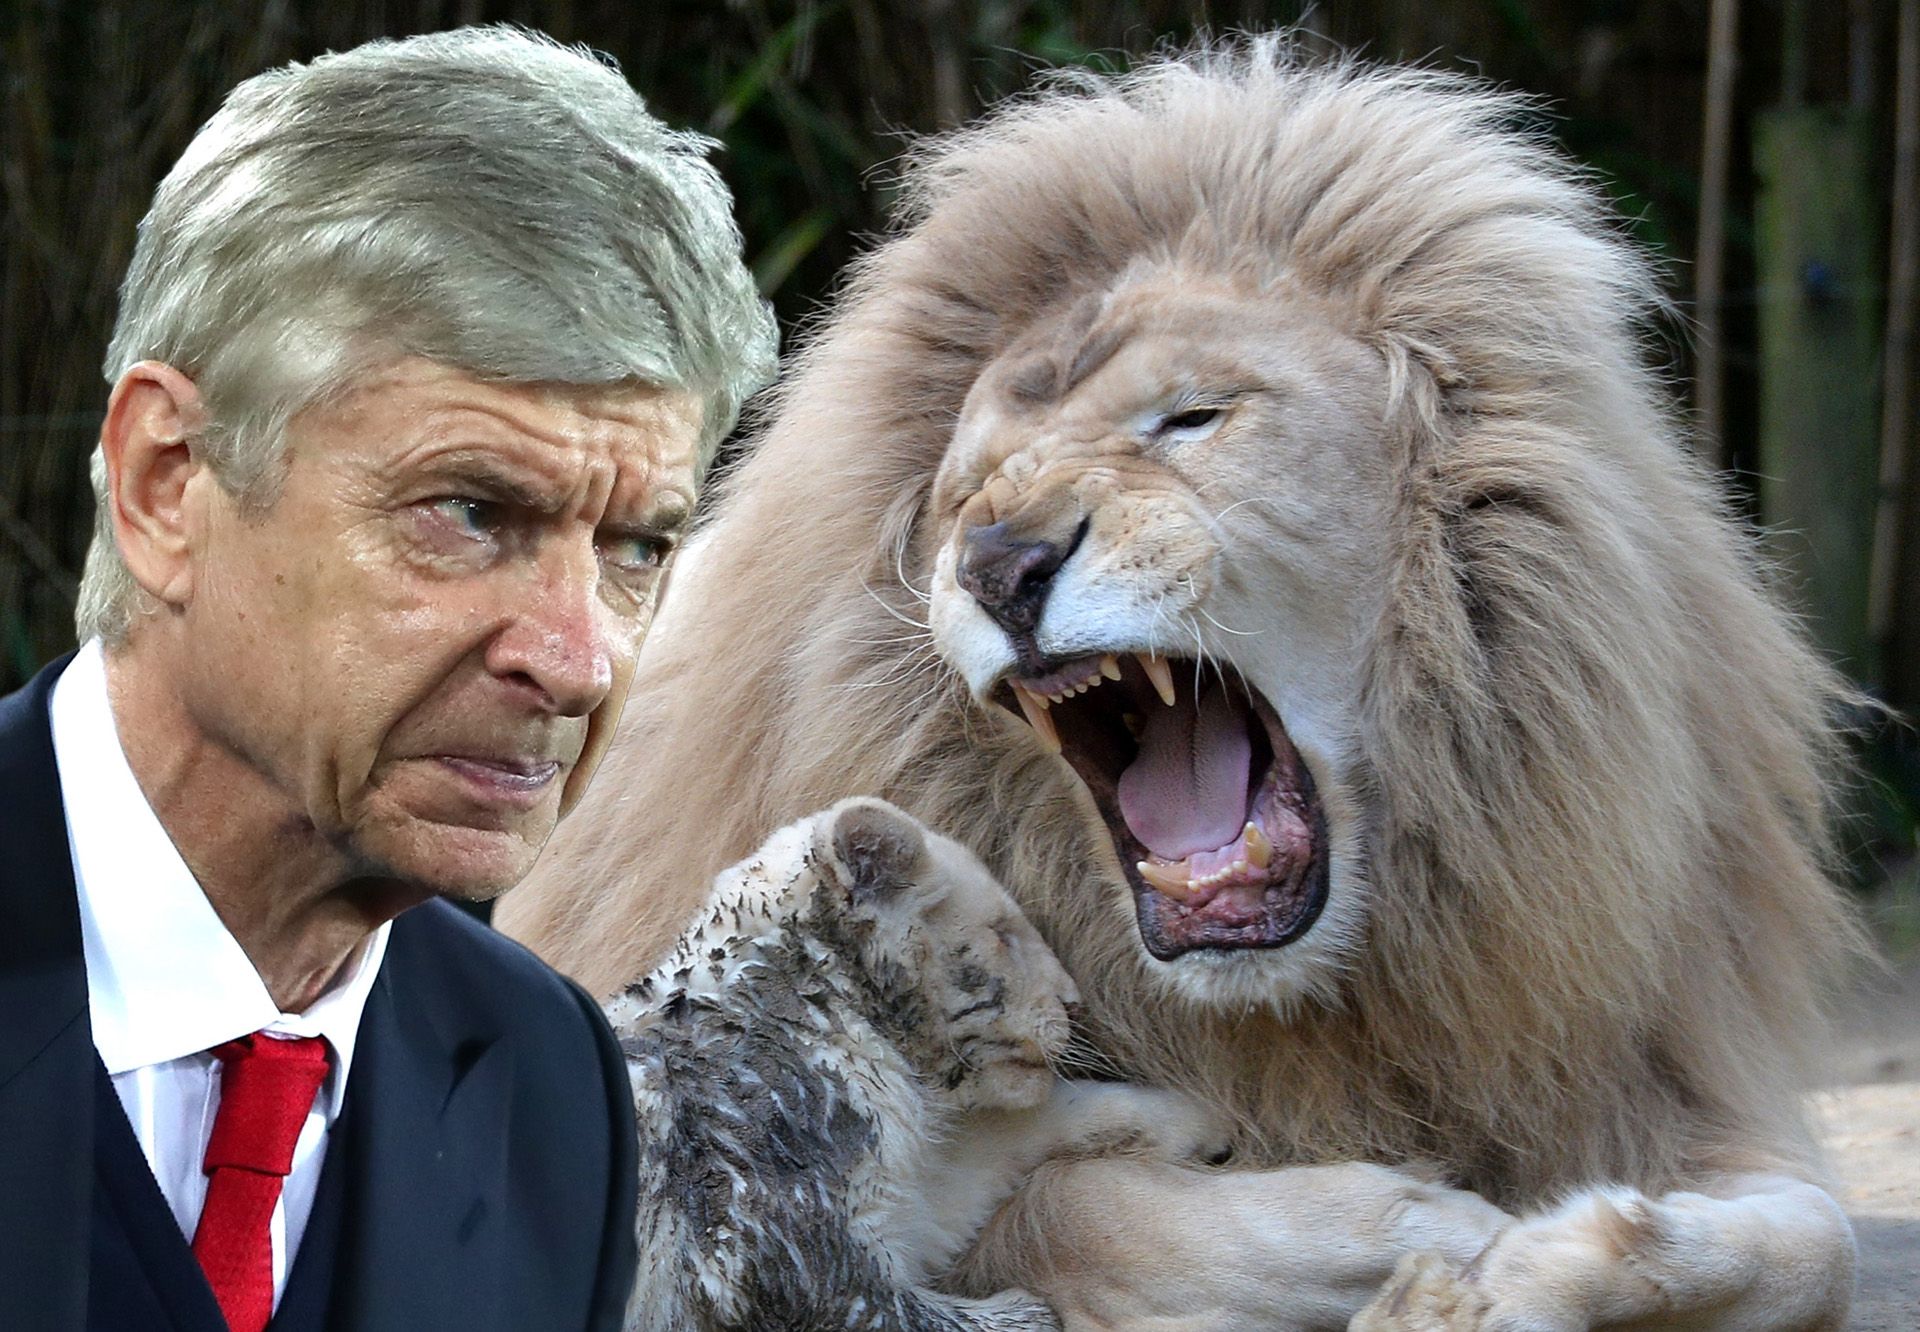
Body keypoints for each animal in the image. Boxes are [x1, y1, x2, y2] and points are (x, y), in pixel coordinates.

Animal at [498, 41, 1864, 1331]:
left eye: (1193, 418)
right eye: (968, 490)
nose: (1000, 564)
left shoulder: (1659, 1068)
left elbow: (1817, 1243)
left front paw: (1555, 1258)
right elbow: (1130, 1212)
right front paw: (1451, 1244)